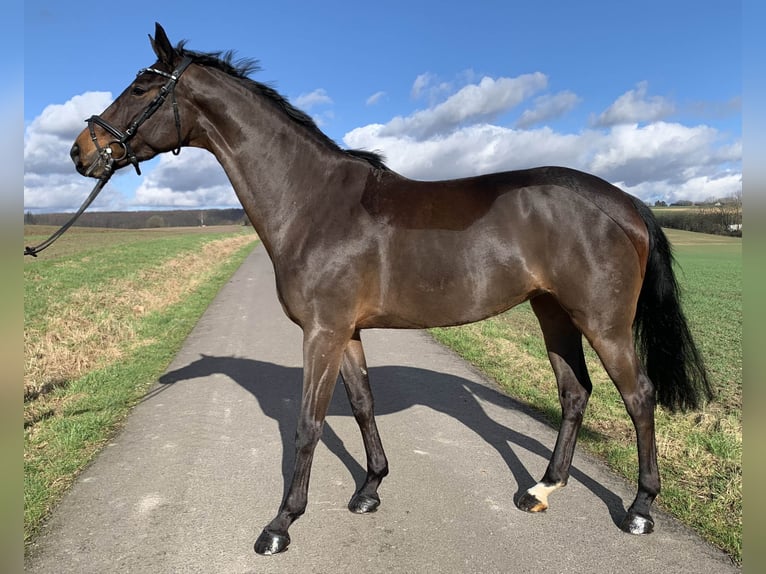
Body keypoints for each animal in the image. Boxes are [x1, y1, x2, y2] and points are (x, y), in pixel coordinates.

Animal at [72, 23, 712, 560]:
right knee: (575, 392)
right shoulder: (346, 333)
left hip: (602, 322)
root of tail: (625, 203)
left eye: (138, 88)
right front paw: (369, 489)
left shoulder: (322, 333)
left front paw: (281, 524)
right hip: (552, 312)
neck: (312, 201)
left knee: (640, 397)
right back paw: (541, 490)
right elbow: (362, 405)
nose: (81, 151)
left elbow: (308, 424)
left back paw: (639, 510)